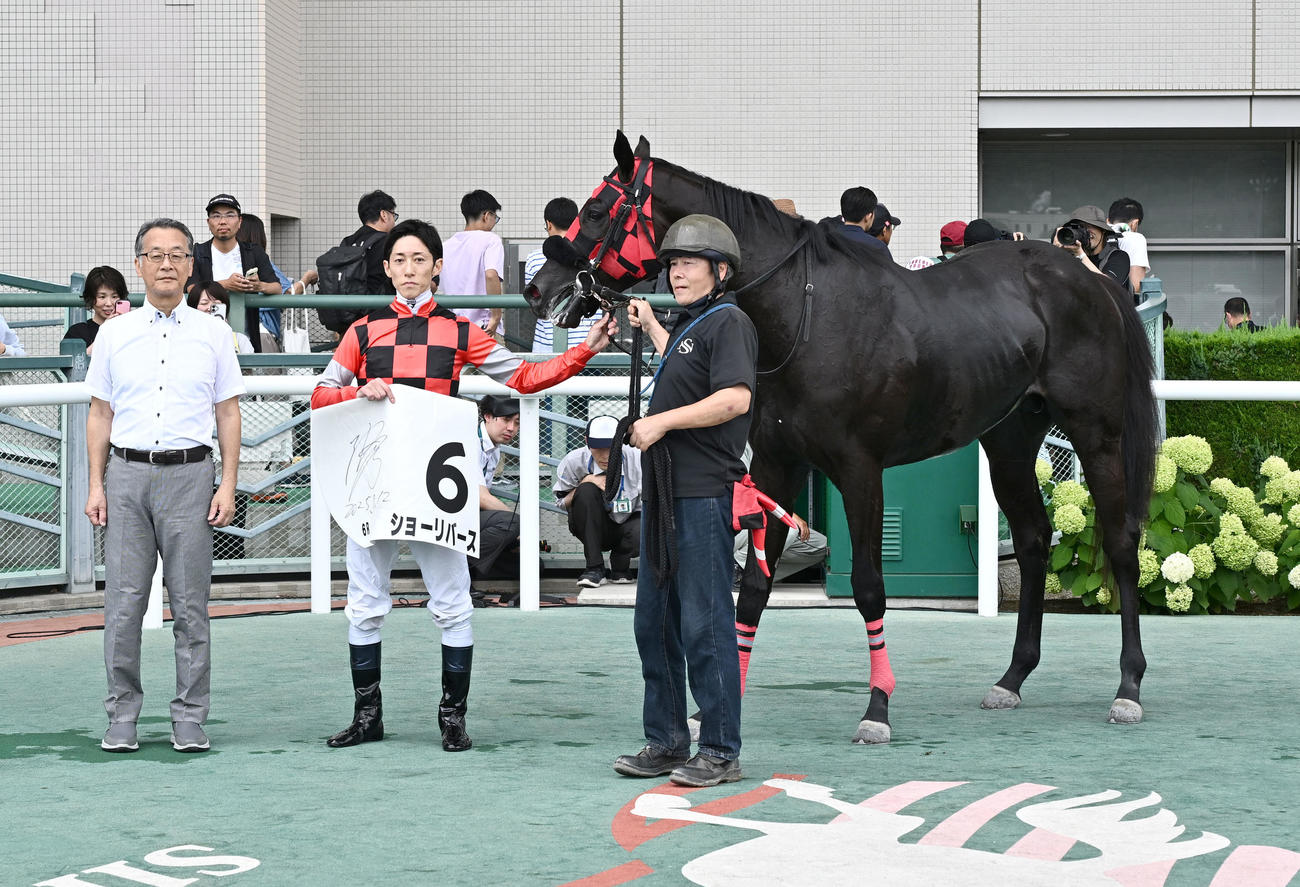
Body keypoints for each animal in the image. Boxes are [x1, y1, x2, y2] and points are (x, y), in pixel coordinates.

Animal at [525, 132, 1158, 744]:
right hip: (1009, 440)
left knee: (1121, 541)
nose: (538, 289)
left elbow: (870, 587)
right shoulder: (777, 466)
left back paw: (1128, 686)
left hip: (1097, 434)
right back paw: (1013, 676)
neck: (807, 318)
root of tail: (1089, 279)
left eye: (597, 210)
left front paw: (877, 708)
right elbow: (753, 589)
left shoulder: (859, 470)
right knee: (1031, 541)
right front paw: (719, 711)